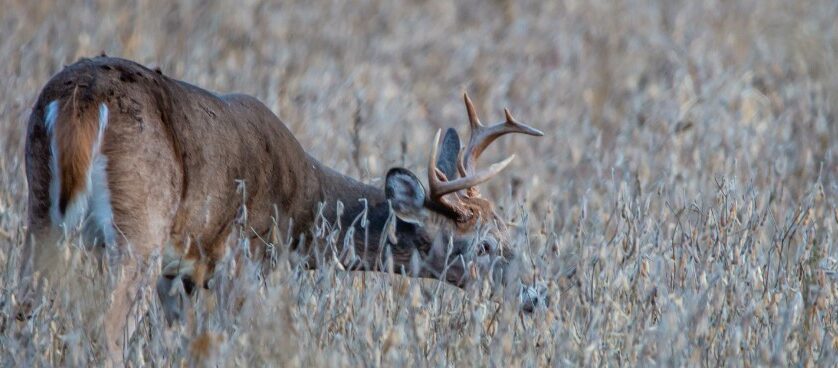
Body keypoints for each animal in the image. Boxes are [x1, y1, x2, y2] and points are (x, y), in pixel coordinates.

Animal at [19, 56, 548, 364]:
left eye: (510, 228)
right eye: (484, 245)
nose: (537, 295)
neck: (303, 208)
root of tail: (80, 99)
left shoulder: (181, 272)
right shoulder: (242, 259)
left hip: (41, 212)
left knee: (25, 310)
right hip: (139, 224)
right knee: (108, 328)